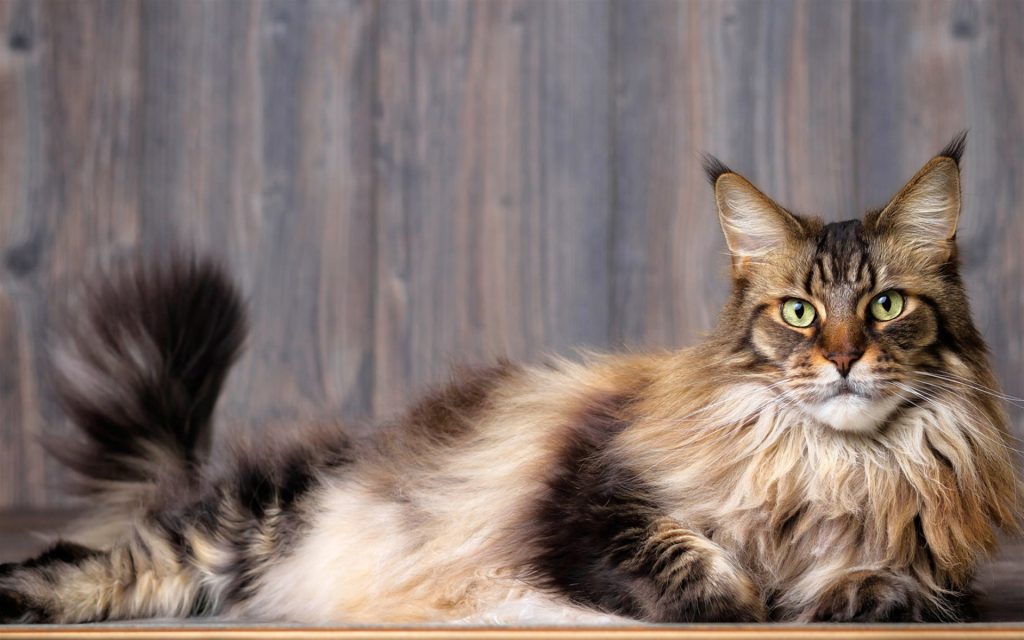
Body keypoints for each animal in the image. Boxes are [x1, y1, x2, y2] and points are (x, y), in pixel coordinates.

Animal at [2, 131, 1024, 622]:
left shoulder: (933, 562)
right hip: (250, 521)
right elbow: (690, 564)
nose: (844, 357)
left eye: (884, 306)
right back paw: (27, 592)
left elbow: (896, 583)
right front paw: (740, 596)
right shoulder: (591, 500)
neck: (831, 465)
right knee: (107, 561)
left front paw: (845, 591)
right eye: (801, 313)